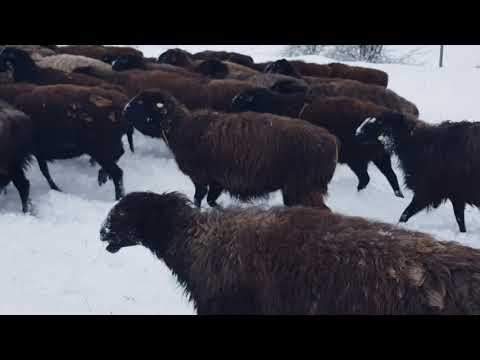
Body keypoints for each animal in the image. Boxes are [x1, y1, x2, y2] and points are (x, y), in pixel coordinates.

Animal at [123, 89, 338, 208]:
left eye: (142, 102)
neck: (179, 127)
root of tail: (331, 142)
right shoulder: (217, 180)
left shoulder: (200, 176)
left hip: (302, 188)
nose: (124, 110)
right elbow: (211, 200)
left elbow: (198, 199)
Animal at [232, 88, 404, 198]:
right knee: (391, 176)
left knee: (366, 178)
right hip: (379, 158)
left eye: (241, 101)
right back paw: (399, 196)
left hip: (357, 160)